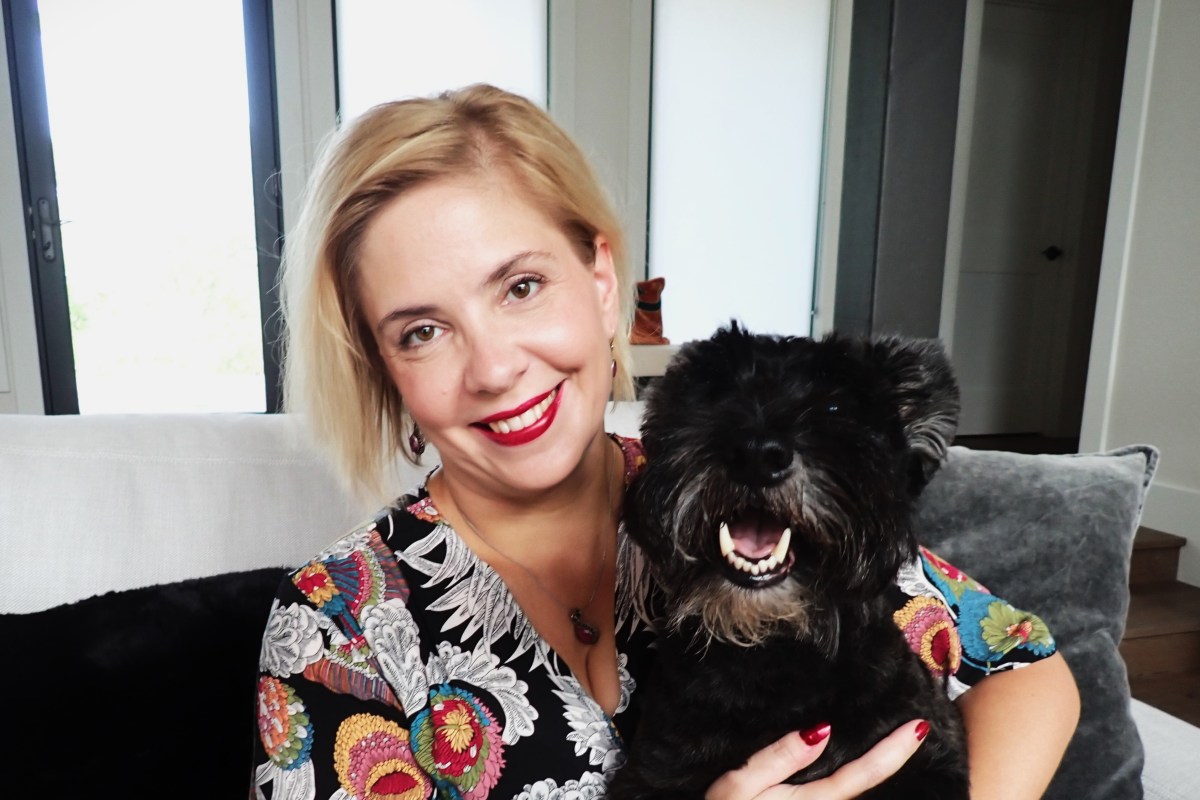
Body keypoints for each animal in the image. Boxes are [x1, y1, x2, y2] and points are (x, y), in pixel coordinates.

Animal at [608, 323, 969, 799]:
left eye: (836, 406)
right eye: (712, 392)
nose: (758, 456)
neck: (774, 651)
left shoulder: (929, 753)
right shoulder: (650, 773)